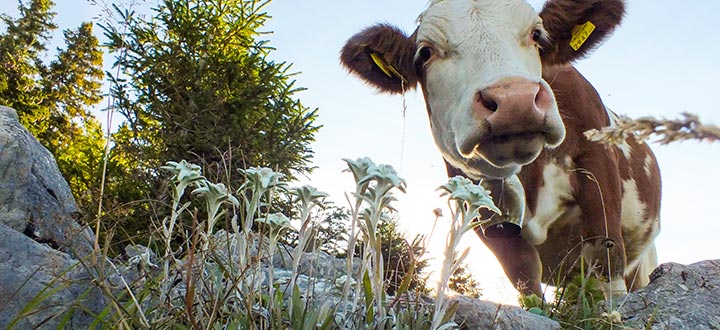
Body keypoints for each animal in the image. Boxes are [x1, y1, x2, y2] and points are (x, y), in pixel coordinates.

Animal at [340, 0, 660, 300]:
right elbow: (525, 275)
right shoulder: (482, 204)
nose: (515, 101)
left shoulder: (597, 163)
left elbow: (605, 256)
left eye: (536, 34)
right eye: (426, 52)